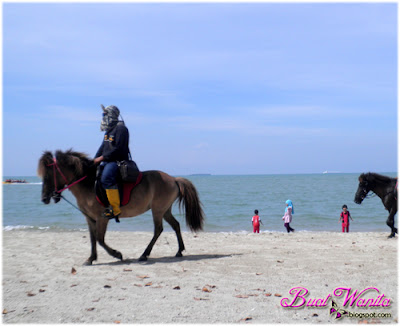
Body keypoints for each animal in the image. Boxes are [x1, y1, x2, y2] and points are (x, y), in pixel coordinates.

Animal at [38, 150, 205, 264]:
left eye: (48, 175)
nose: (44, 198)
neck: (89, 184)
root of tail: (174, 179)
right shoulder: (90, 219)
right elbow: (93, 239)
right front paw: (91, 258)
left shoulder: (102, 218)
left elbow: (100, 239)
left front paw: (117, 254)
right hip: (165, 210)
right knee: (175, 225)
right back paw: (179, 251)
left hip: (158, 210)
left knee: (158, 229)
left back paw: (144, 254)